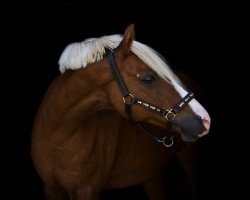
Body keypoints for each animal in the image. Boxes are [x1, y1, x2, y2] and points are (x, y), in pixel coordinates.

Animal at [31, 24, 211, 199]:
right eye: (149, 78)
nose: (205, 119)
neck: (59, 135)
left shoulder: (86, 190)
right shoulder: (51, 190)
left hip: (189, 164)